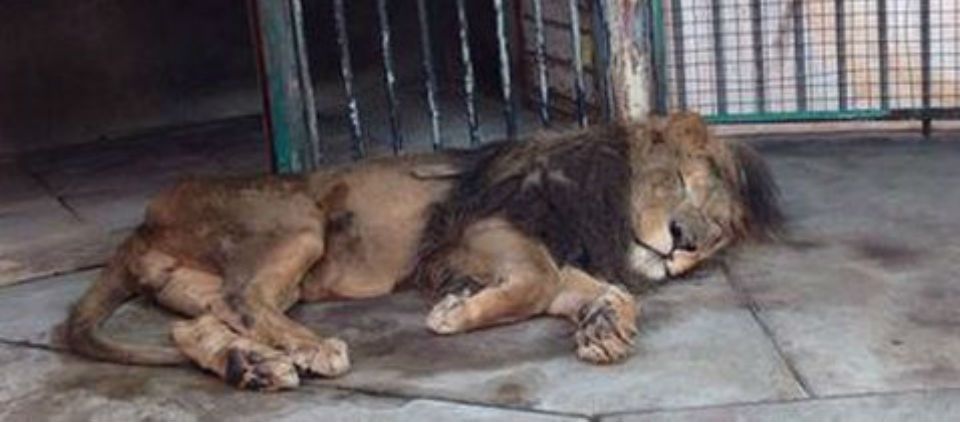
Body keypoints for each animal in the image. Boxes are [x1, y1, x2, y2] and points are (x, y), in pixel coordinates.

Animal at [64, 112, 781, 391]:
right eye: (681, 182)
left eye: (716, 232)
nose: (683, 243)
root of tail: (143, 223)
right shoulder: (477, 229)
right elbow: (537, 280)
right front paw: (455, 313)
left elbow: (595, 289)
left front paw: (605, 326)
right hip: (299, 219)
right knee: (246, 299)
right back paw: (310, 349)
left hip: (210, 283)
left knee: (196, 328)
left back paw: (254, 366)